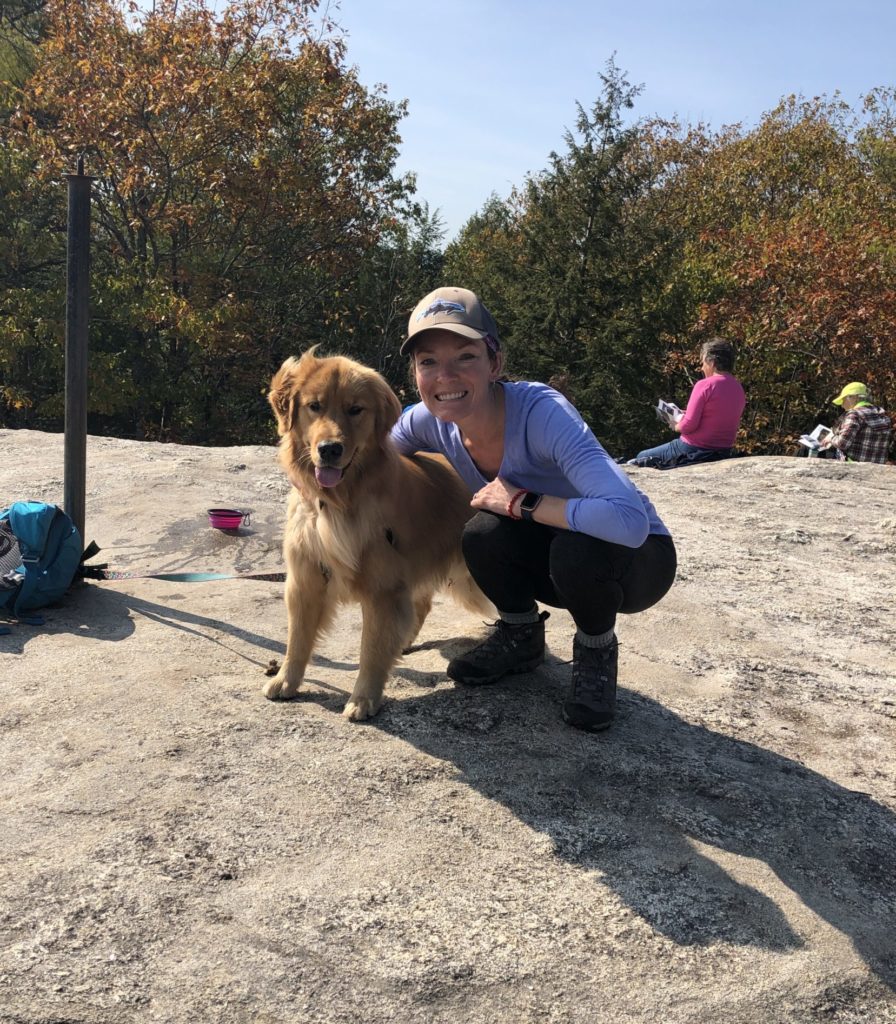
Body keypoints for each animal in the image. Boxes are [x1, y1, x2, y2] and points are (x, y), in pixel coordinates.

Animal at [262, 350, 493, 720]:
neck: (339, 503)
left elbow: (370, 650)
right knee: (422, 602)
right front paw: (286, 680)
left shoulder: (383, 590)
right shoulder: (305, 579)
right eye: (315, 406)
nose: (330, 449)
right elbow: (297, 639)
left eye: (356, 409)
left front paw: (363, 698)